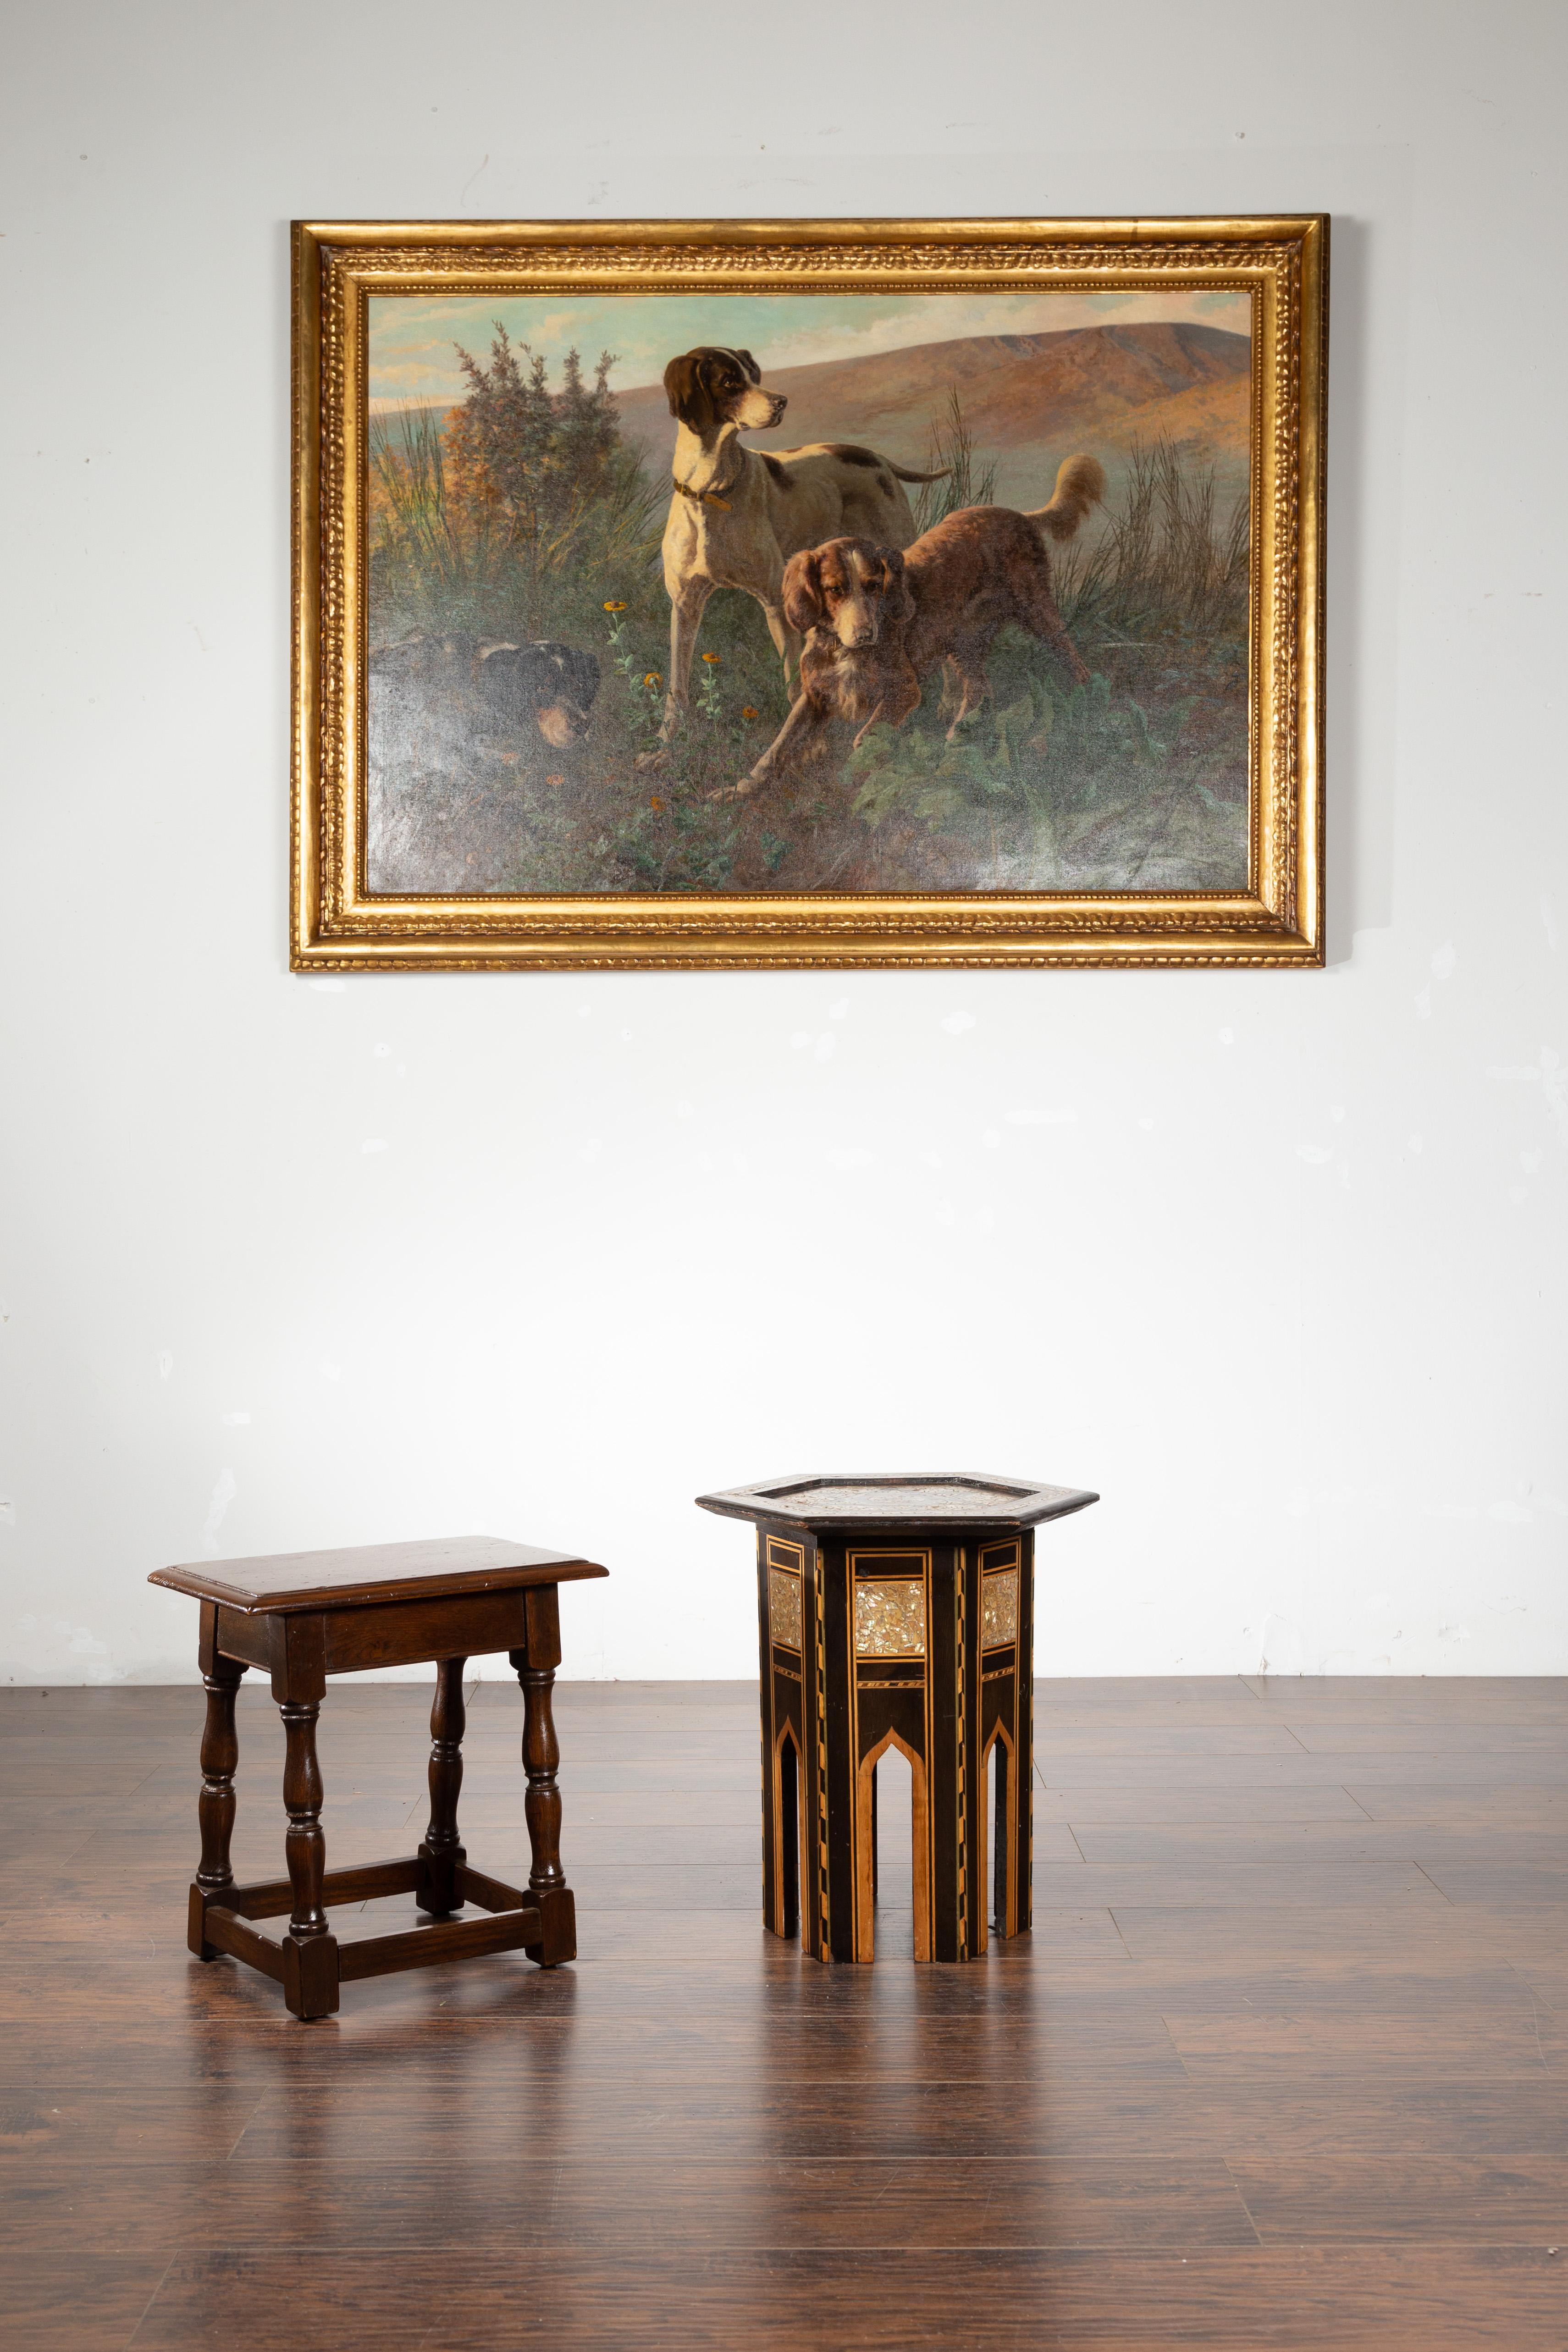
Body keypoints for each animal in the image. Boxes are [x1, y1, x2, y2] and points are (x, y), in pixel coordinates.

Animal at [644, 348, 950, 757]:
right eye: (729, 381)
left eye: (752, 374)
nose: (781, 402)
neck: (712, 489)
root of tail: (877, 458)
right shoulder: (685, 607)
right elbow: (677, 685)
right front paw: (666, 745)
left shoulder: (775, 604)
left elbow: (792, 684)